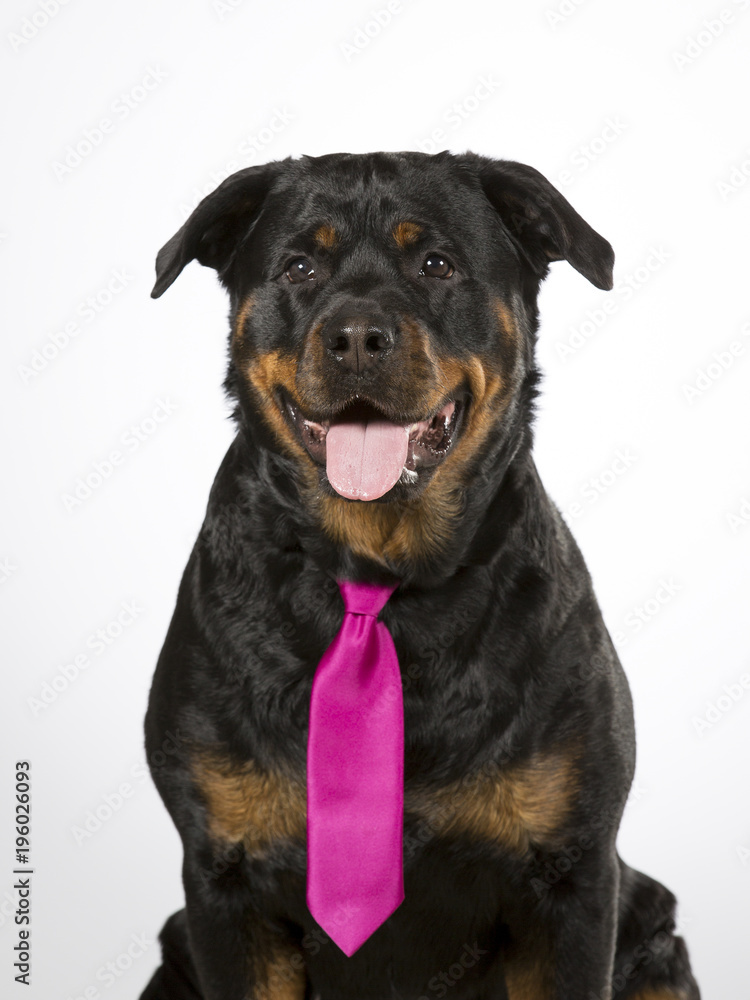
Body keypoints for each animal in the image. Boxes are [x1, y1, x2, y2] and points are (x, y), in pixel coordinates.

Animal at [138, 150, 704, 1000]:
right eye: (300, 267)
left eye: (437, 264)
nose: (356, 336)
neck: (376, 575)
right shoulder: (224, 884)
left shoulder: (572, 881)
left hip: (652, 927)